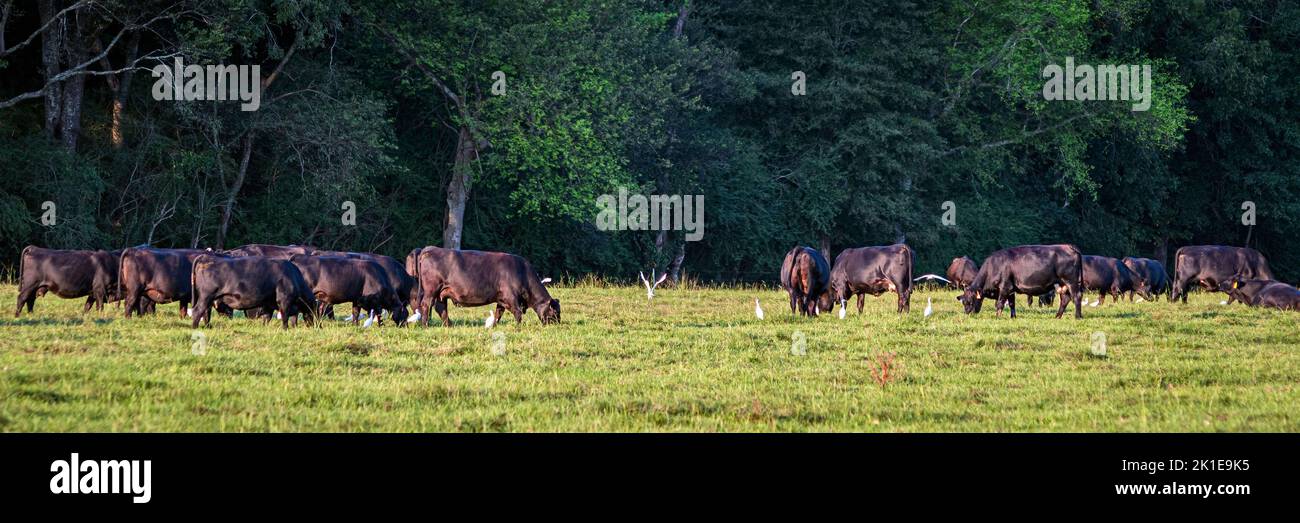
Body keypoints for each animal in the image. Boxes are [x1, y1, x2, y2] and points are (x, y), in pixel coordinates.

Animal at [414, 247, 559, 326]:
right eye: (555, 312)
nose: (557, 325)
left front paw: (494, 326)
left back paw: (449, 325)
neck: (522, 271)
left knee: (441, 308)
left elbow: (498, 314)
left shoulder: (501, 299)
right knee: (426, 305)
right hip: (431, 290)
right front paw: (518, 327)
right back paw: (425, 325)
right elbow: (517, 313)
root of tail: (430, 249)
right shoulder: (511, 296)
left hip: (441, 293)